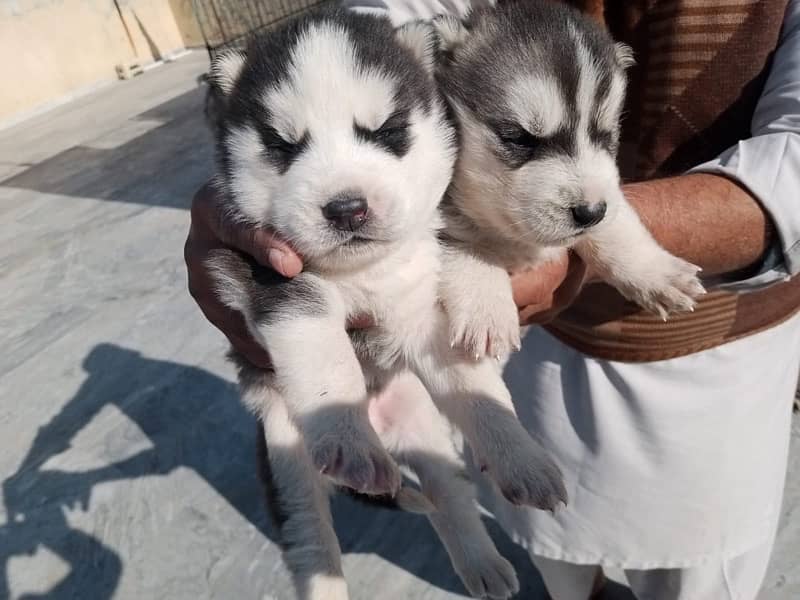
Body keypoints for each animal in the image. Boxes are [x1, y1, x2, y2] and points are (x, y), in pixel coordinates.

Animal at [203, 8, 564, 600]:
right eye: (283, 145)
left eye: (386, 132)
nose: (347, 209)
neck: (362, 274)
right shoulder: (275, 278)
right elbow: (326, 363)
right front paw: (349, 442)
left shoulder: (425, 314)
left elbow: (479, 390)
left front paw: (523, 458)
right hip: (287, 457)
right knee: (312, 542)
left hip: (424, 428)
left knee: (449, 498)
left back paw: (482, 564)